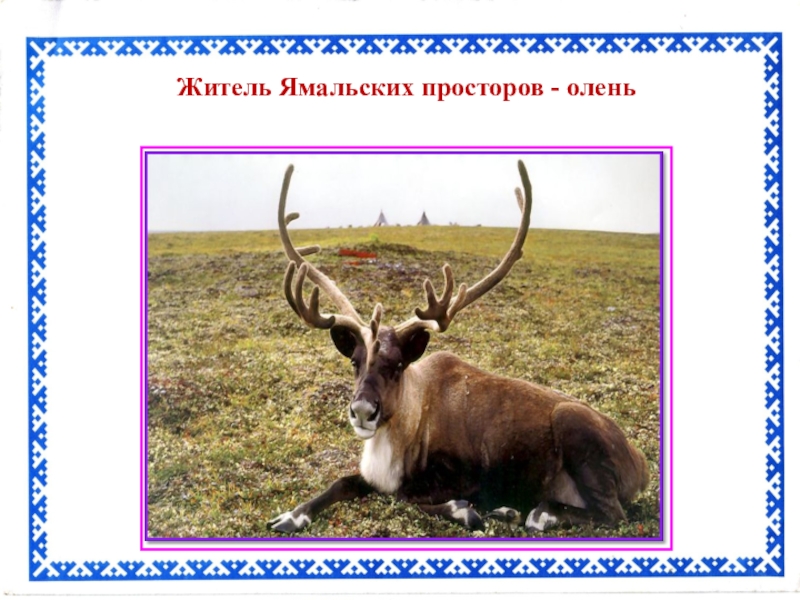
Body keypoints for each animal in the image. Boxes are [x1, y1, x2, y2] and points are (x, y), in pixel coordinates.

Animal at [268, 161, 650, 535]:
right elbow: (342, 482)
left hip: (574, 427)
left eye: (398, 365)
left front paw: (465, 511)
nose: (363, 411)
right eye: (354, 362)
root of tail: (641, 466)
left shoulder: (468, 478)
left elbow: (406, 495)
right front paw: (291, 515)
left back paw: (536, 513)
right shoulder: (372, 475)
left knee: (611, 513)